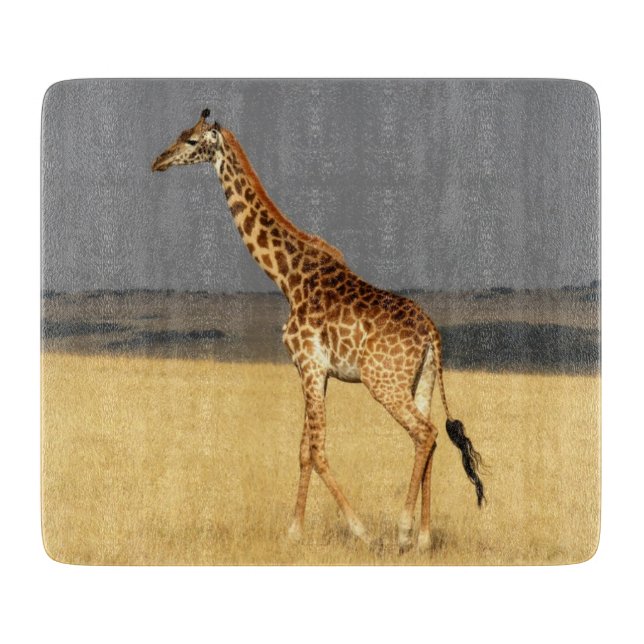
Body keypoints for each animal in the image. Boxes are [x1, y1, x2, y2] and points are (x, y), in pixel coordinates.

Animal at [152, 109, 485, 552]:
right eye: (179, 133)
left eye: (191, 141)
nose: (158, 162)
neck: (287, 277)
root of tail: (432, 333)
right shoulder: (313, 370)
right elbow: (304, 450)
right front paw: (293, 530)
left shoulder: (309, 364)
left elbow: (318, 449)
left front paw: (360, 530)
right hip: (423, 381)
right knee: (428, 440)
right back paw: (424, 539)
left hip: (384, 382)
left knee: (425, 433)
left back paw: (401, 531)